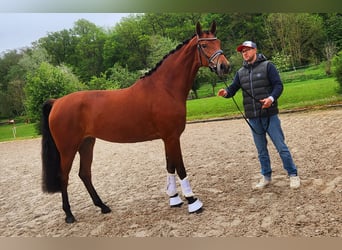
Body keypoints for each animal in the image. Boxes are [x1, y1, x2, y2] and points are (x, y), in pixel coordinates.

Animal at [42, 21, 230, 223]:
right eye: (204, 45)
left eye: (218, 42)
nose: (225, 67)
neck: (164, 88)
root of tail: (57, 102)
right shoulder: (172, 137)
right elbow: (180, 168)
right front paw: (192, 201)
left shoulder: (167, 138)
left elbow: (169, 166)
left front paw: (174, 199)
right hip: (68, 149)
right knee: (64, 176)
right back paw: (69, 215)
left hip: (86, 143)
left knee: (84, 174)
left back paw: (103, 206)